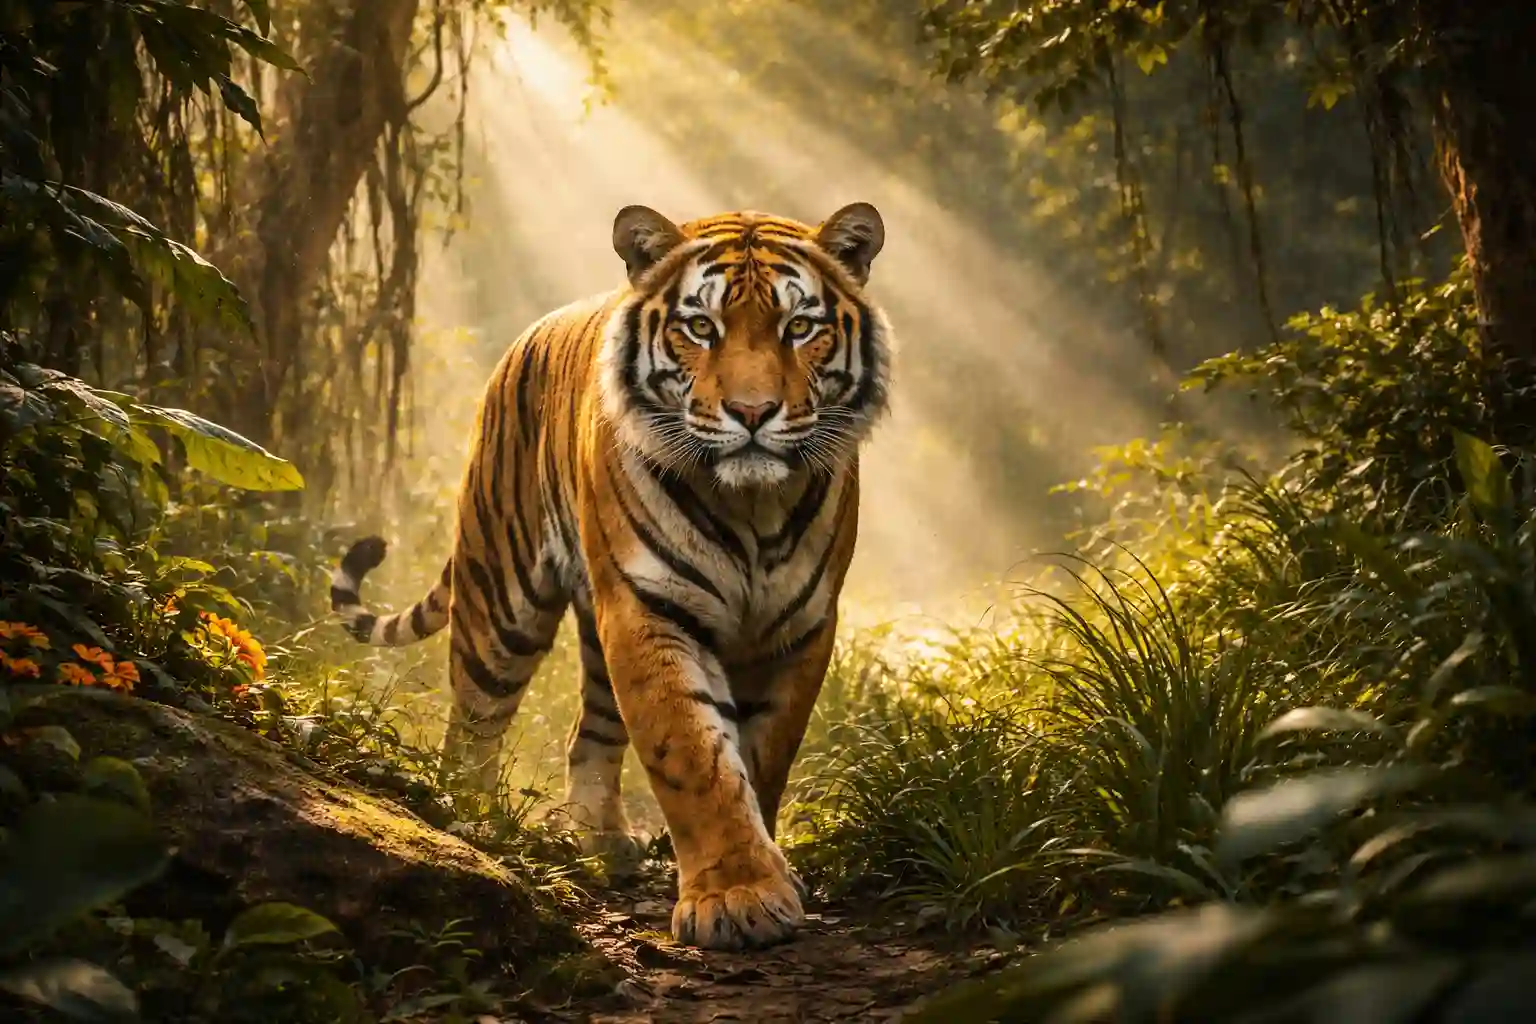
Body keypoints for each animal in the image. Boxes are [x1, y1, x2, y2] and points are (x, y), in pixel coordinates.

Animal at [329, 202, 892, 951]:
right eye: (701, 327)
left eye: (799, 328)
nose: (752, 413)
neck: (751, 506)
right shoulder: (649, 611)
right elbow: (692, 754)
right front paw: (735, 895)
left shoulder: (798, 627)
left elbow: (762, 756)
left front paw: (764, 872)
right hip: (501, 601)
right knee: (472, 722)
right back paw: (472, 823)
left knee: (589, 734)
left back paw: (601, 842)